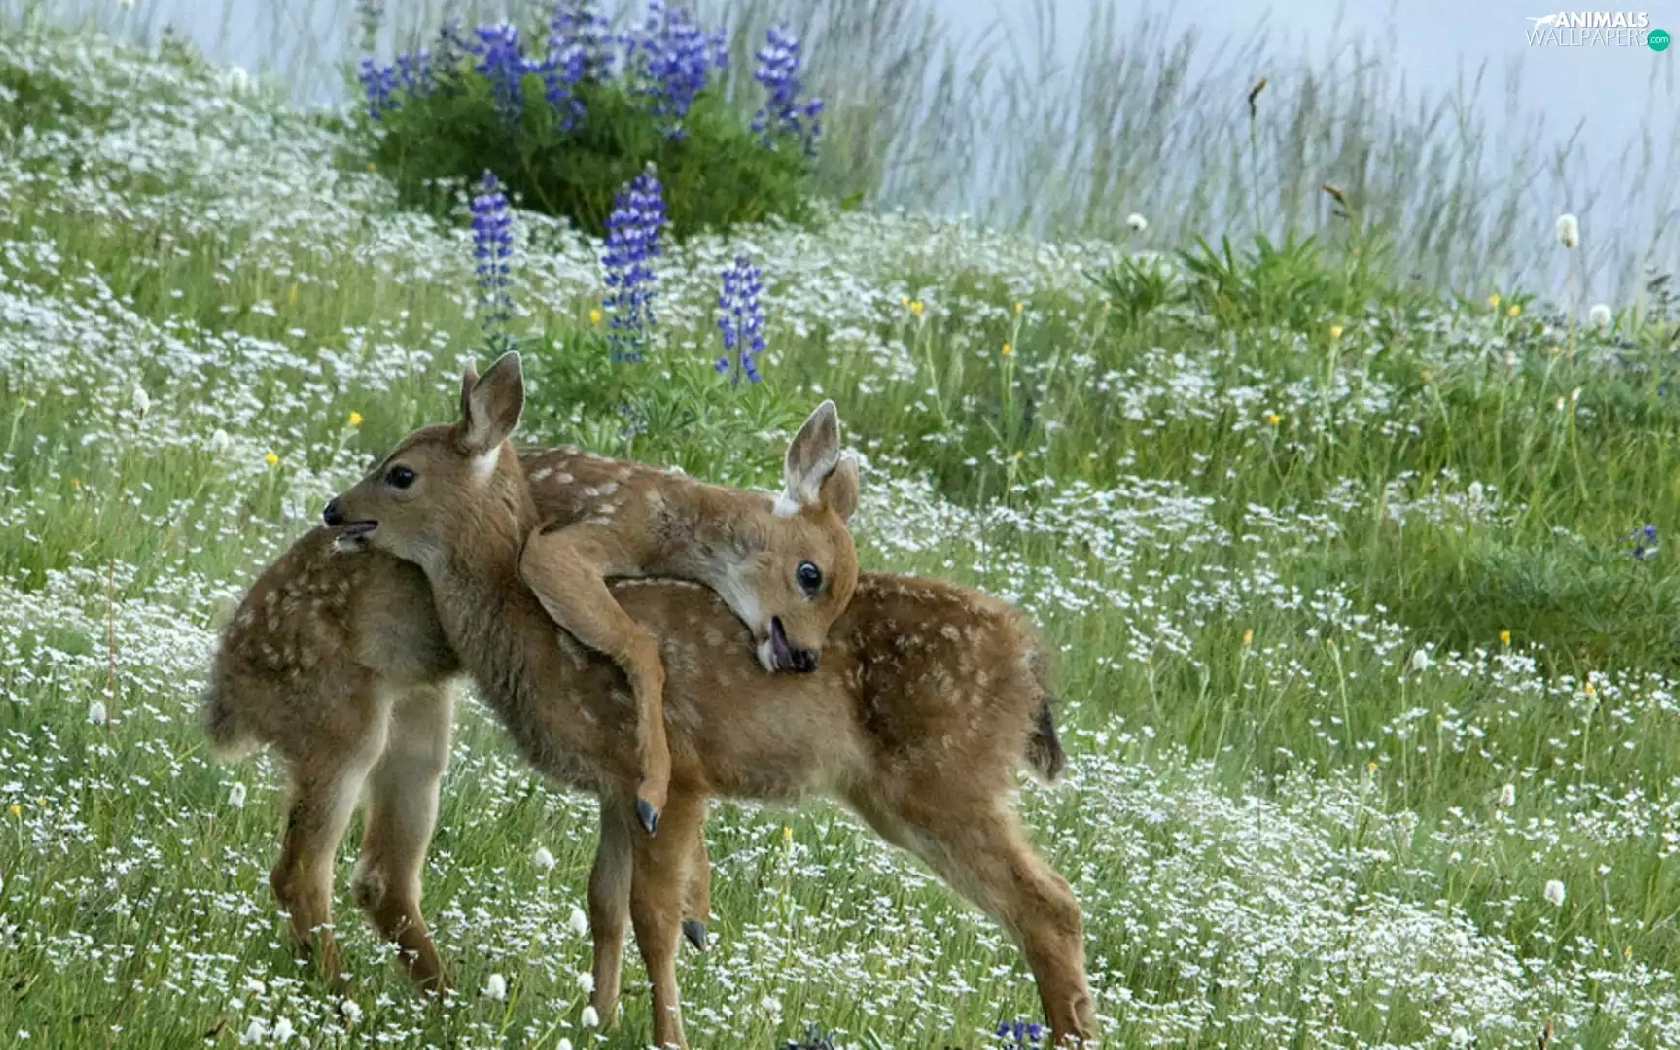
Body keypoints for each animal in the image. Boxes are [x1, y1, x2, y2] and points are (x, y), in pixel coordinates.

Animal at [201, 351, 1098, 1047]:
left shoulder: (681, 779)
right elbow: (607, 903)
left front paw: (664, 1030)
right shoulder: (616, 788)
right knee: (356, 873)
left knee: (1049, 908)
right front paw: (598, 1019)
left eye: (401, 474)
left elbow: (650, 915)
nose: (336, 510)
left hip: (942, 783)